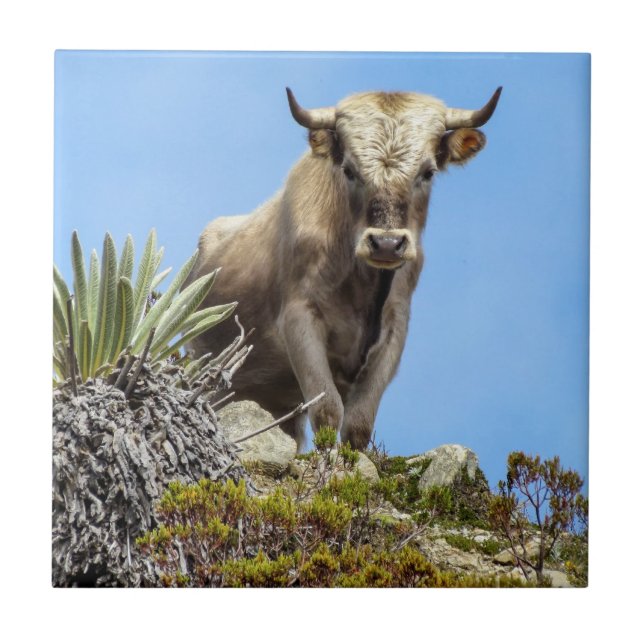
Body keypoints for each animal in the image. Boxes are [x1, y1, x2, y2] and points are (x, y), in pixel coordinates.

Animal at [186, 86, 502, 451]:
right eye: (349, 170)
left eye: (428, 172)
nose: (386, 243)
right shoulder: (299, 318)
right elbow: (327, 411)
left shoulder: (396, 328)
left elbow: (359, 423)